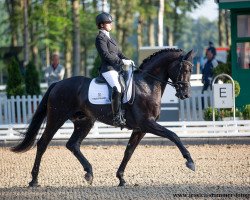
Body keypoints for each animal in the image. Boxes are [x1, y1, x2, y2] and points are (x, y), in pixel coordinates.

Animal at [11, 48, 195, 188]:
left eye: (191, 70)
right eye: (184, 70)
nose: (185, 94)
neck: (147, 85)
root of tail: (57, 84)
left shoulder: (140, 128)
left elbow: (129, 151)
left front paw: (121, 178)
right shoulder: (147, 124)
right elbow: (174, 135)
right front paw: (190, 161)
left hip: (84, 122)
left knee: (73, 144)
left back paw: (89, 173)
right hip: (57, 117)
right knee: (43, 143)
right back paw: (34, 180)